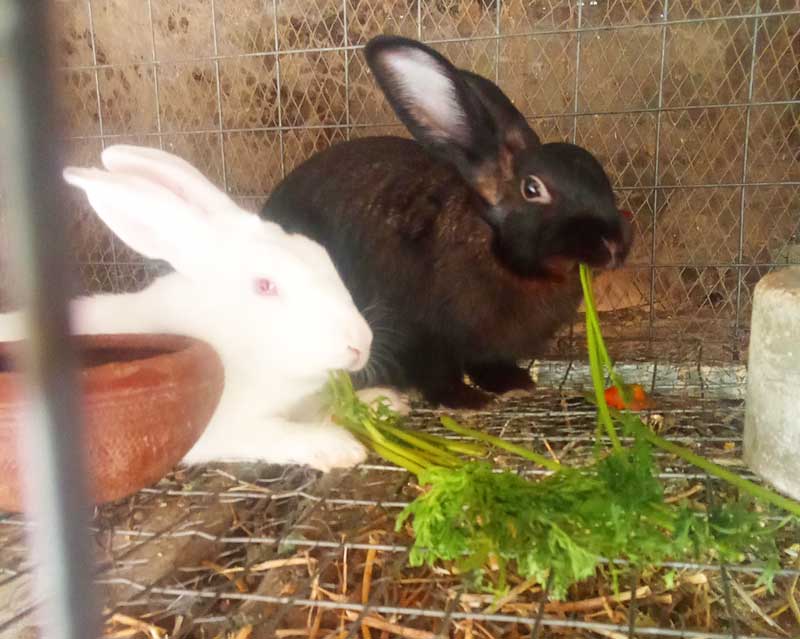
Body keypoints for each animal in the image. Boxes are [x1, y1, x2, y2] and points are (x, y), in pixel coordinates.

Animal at [0, 144, 408, 471]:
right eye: (265, 286)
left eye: (321, 256)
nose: (360, 343)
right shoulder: (224, 426)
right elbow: (275, 431)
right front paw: (338, 448)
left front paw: (385, 401)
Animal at [262, 36, 633, 409]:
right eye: (533, 189)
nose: (615, 246)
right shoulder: (418, 335)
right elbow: (435, 374)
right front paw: (466, 400)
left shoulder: (487, 349)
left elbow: (488, 364)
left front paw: (514, 383)